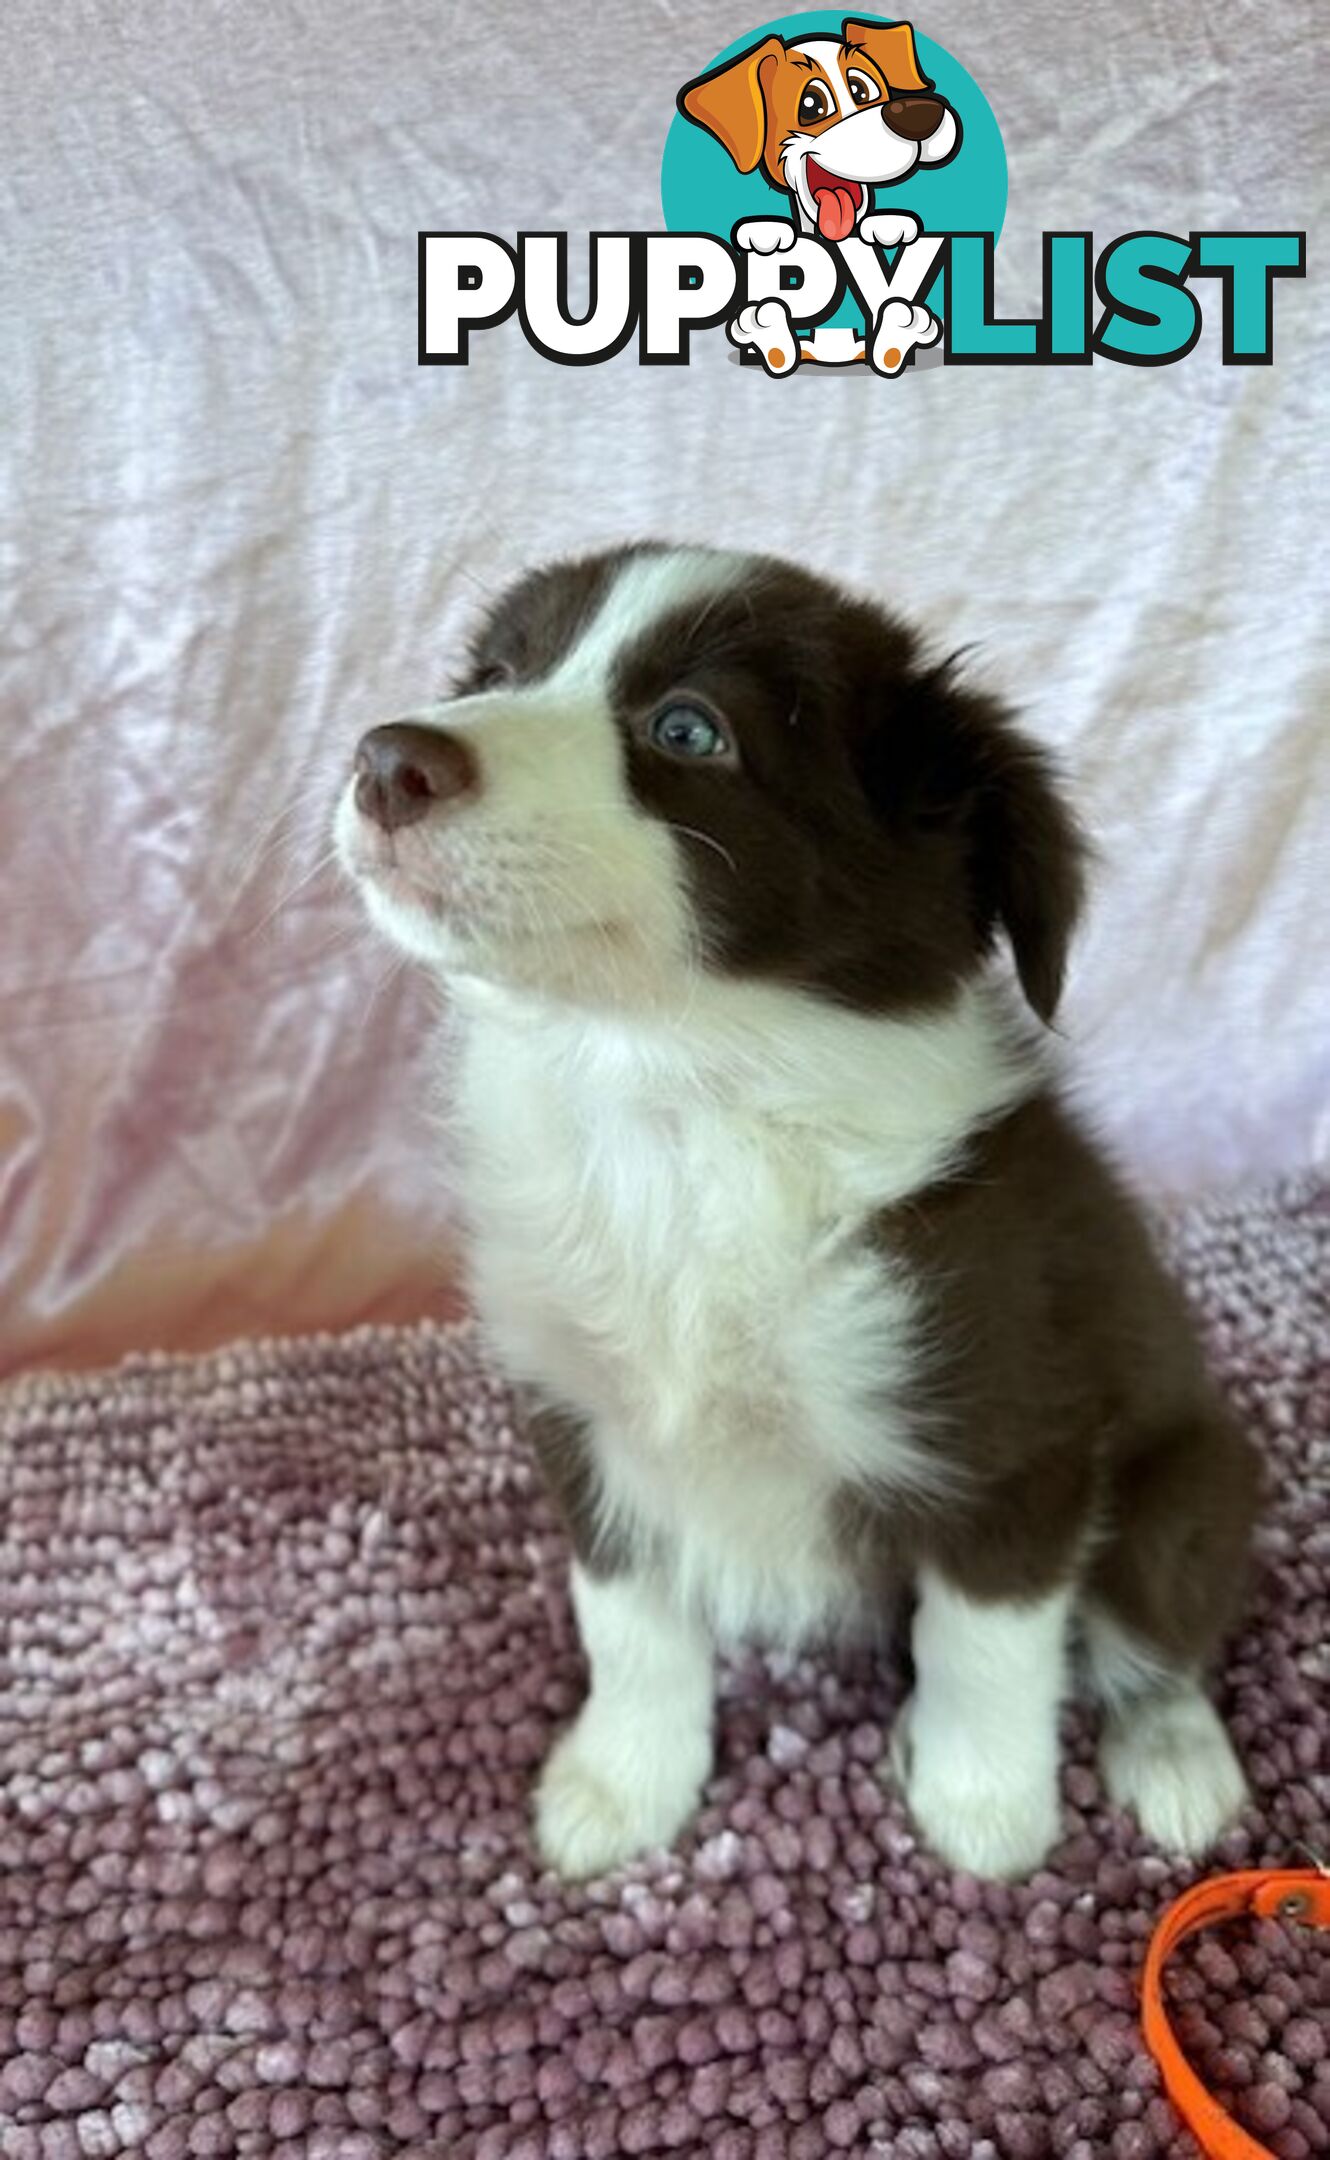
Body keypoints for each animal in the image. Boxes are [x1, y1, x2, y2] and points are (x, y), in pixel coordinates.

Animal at [332, 548, 1260, 1883]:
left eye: (687, 730)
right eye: (496, 673)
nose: (386, 758)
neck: (683, 1110)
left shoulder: (1012, 1441)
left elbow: (988, 1642)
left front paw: (982, 1810)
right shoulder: (584, 1423)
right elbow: (628, 1619)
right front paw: (625, 1782)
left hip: (1187, 1485)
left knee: (1158, 1634)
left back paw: (1177, 1760)